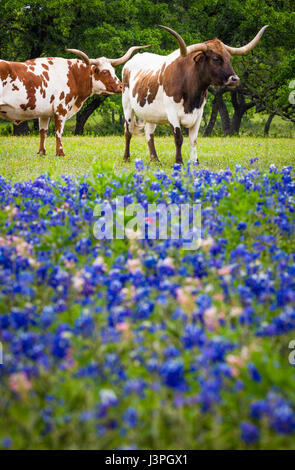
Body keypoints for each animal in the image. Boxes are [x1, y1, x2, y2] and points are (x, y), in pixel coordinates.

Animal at [0, 44, 150, 155]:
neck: (72, 74)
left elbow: (43, 132)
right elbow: (58, 132)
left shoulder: (44, 114)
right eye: (105, 72)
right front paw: (60, 153)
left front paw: (42, 152)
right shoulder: (61, 110)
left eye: (113, 70)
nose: (121, 86)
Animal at [121, 26, 270, 165]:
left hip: (151, 113)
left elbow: (194, 139)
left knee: (149, 133)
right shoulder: (172, 113)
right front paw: (179, 162)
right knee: (128, 132)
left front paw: (195, 162)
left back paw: (155, 159)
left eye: (229, 58)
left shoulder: (198, 114)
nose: (235, 79)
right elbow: (178, 138)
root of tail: (129, 62)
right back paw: (126, 158)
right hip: (127, 106)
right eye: (216, 59)